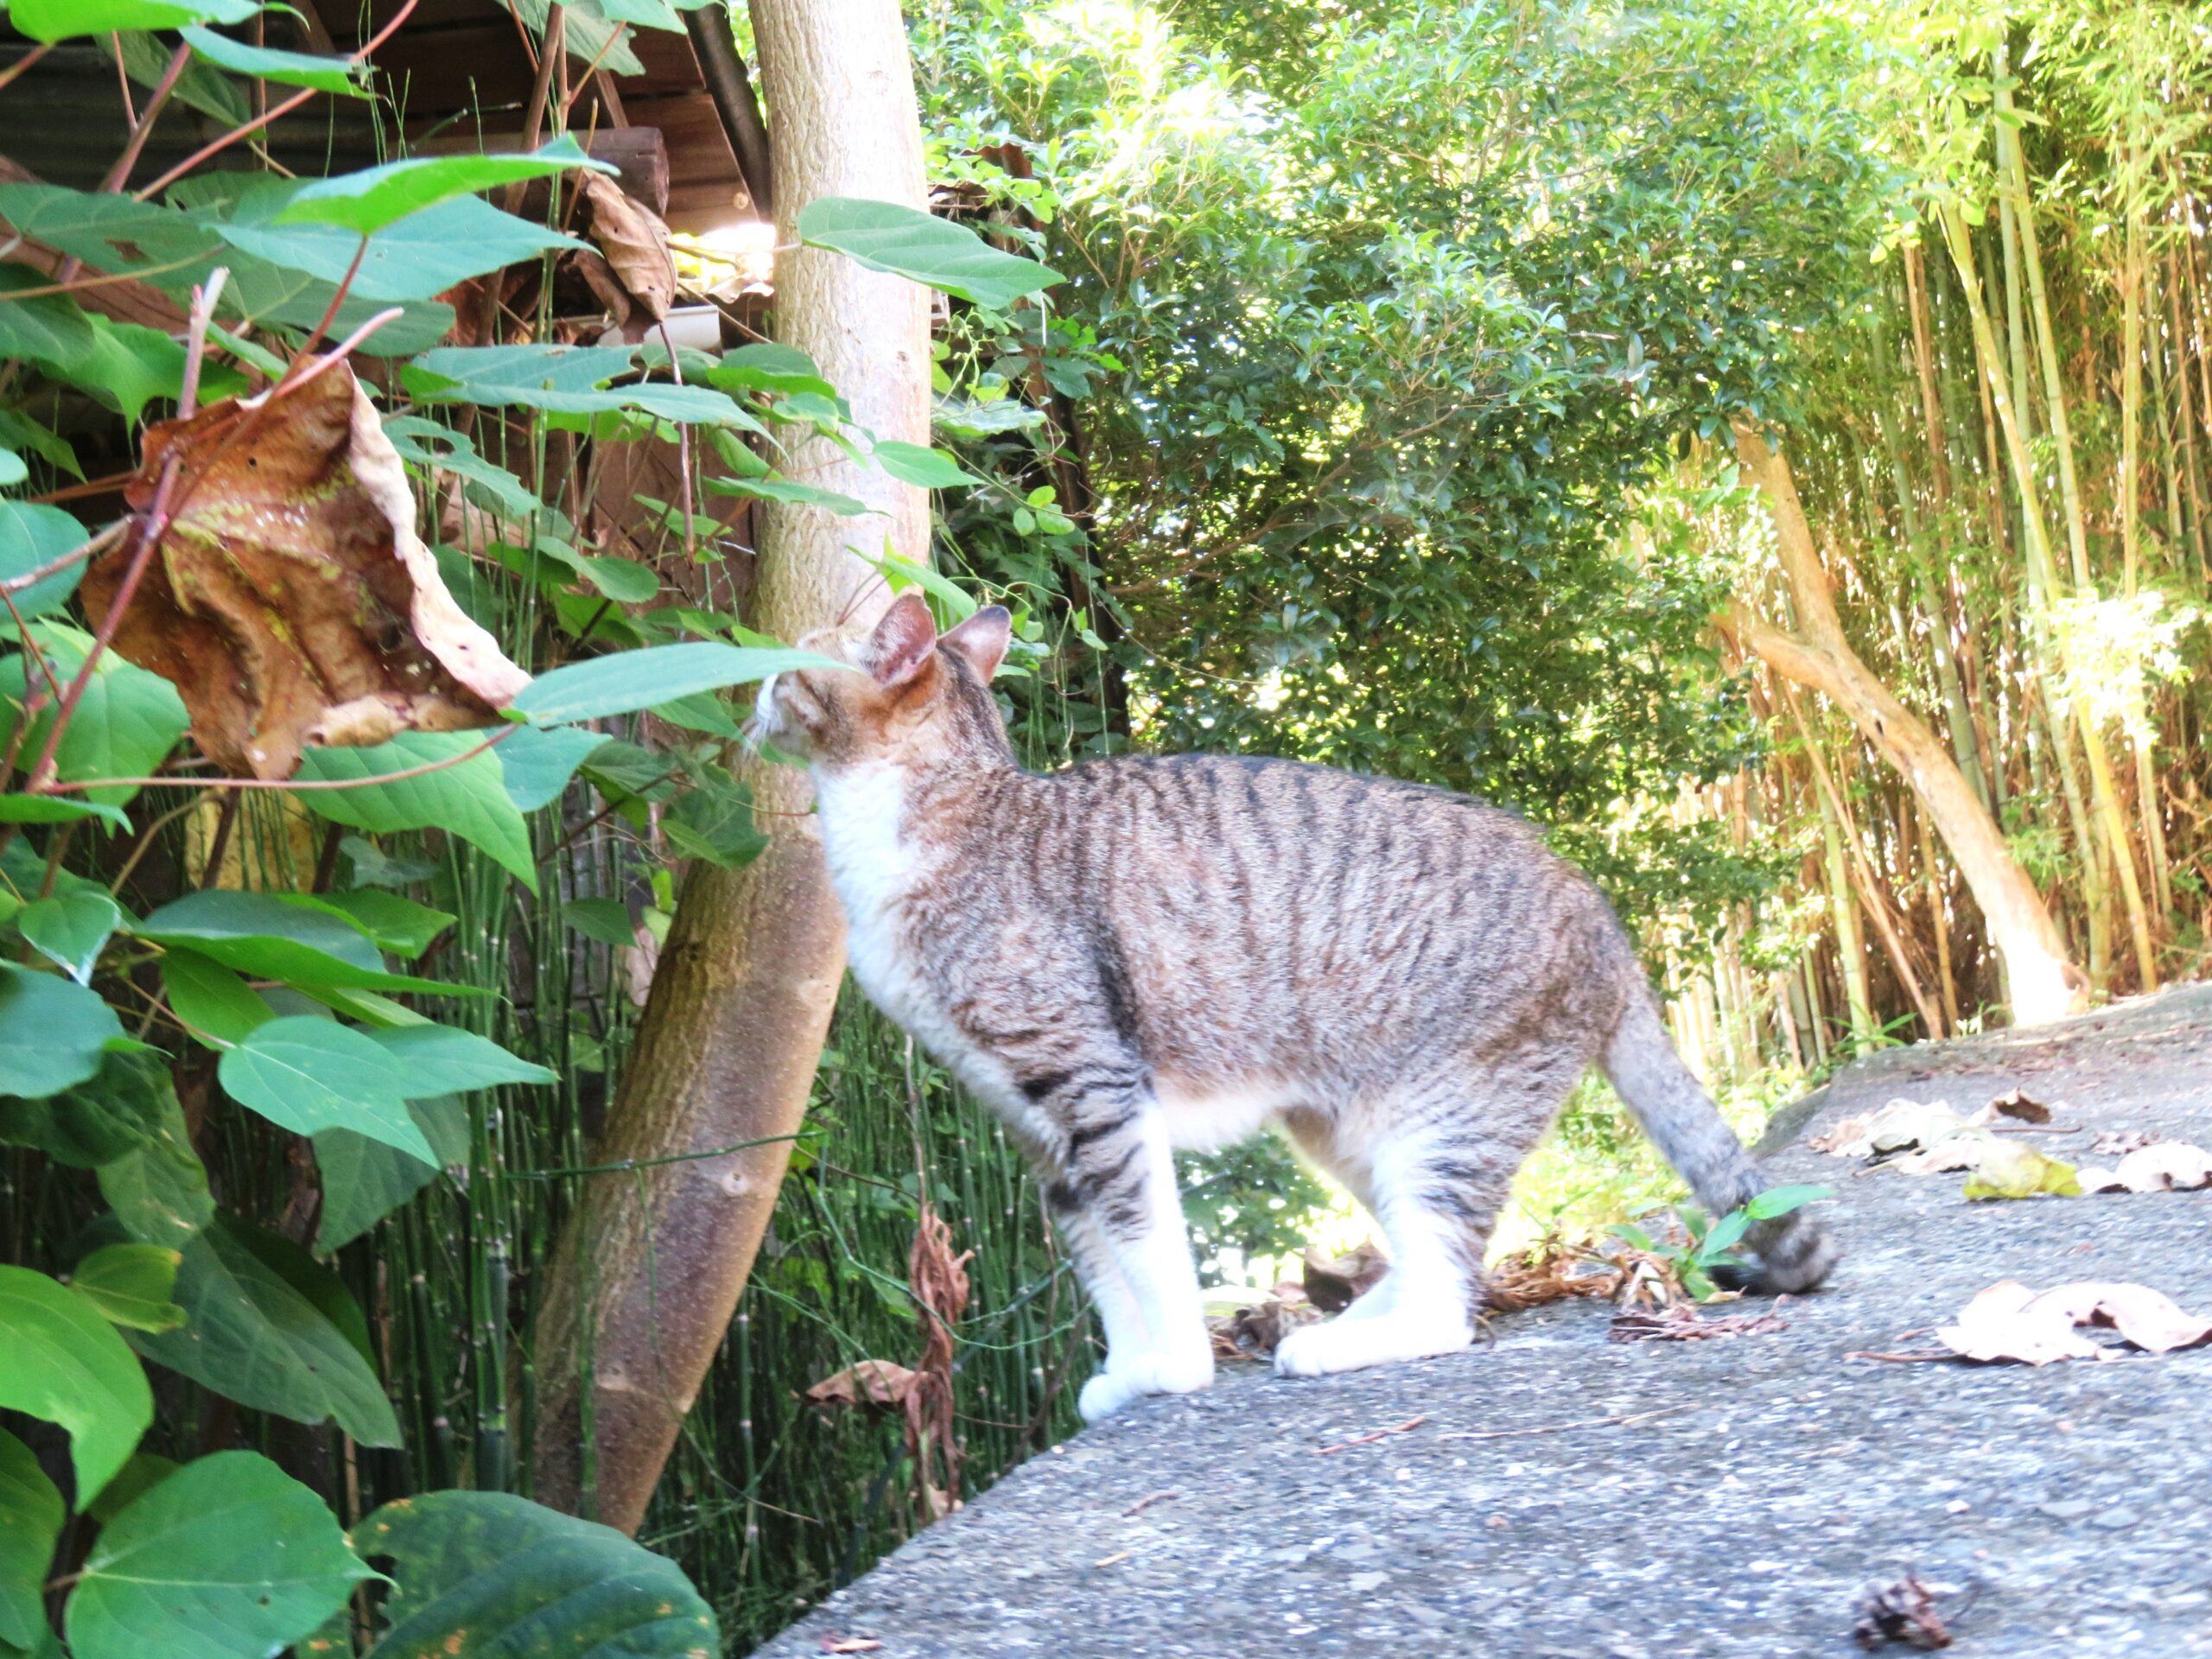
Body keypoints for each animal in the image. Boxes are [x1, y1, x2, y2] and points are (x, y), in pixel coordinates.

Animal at [760, 593, 1831, 1424]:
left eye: (785, 670)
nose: (750, 694)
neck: (943, 810)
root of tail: (1602, 916)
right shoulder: (1036, 1129)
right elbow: (1102, 1268)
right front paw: (1128, 1372)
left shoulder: (1096, 1093)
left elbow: (1146, 1247)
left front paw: (1173, 1370)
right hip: (1347, 1129)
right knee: (1426, 1254)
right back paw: (1358, 1314)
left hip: (1443, 1120)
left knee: (1450, 1297)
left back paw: (1342, 1343)